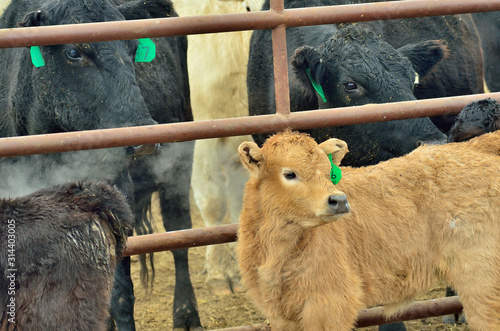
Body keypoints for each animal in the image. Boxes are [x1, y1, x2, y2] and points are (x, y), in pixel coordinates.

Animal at [237, 130, 500, 331]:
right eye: (289, 173)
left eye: (329, 172)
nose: (339, 200)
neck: (278, 253)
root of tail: (476, 145)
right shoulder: (280, 314)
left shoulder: (330, 304)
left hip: (481, 278)